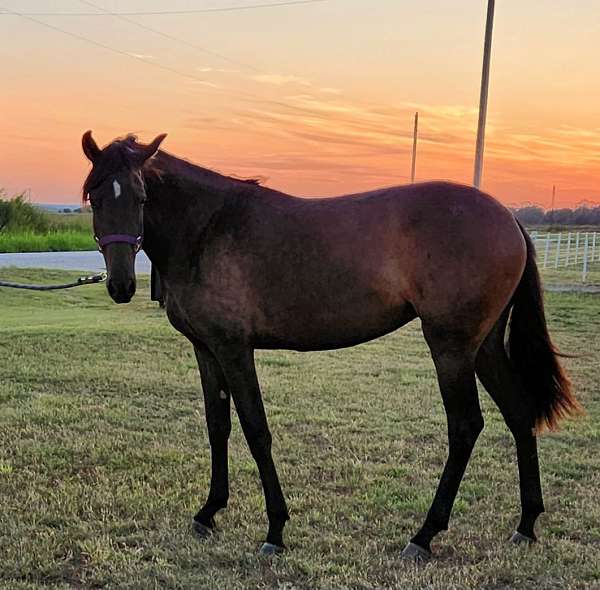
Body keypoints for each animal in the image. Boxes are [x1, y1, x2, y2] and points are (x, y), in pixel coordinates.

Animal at [79, 132, 576, 560]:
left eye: (141, 197)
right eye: (95, 198)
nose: (121, 285)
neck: (208, 228)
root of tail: (508, 217)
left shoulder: (235, 350)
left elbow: (256, 430)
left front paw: (275, 530)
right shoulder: (206, 350)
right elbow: (217, 426)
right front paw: (209, 512)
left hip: (451, 348)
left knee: (466, 426)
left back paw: (424, 535)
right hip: (484, 346)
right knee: (518, 413)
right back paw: (526, 524)